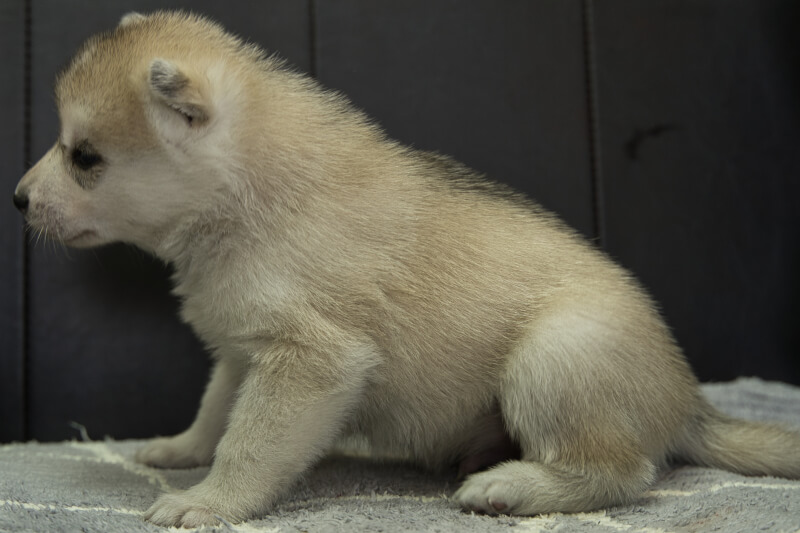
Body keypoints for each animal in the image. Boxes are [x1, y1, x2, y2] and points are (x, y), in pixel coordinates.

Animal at [14, 10, 800, 524]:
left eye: (85, 157)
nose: (18, 199)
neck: (241, 199)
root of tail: (690, 403)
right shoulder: (244, 354)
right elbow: (215, 413)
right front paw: (180, 450)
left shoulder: (310, 363)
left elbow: (248, 445)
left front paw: (209, 502)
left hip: (555, 357)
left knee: (622, 472)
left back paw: (513, 488)